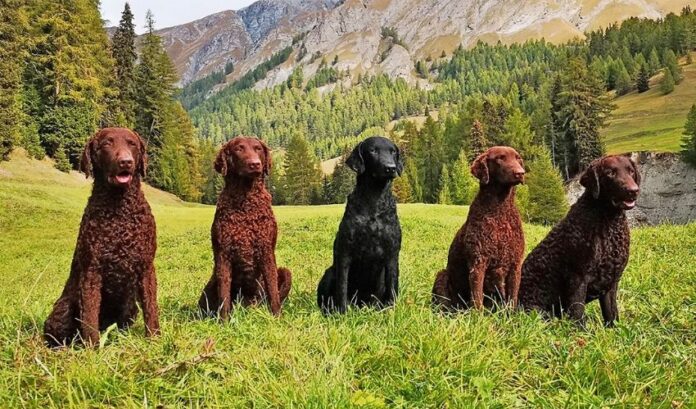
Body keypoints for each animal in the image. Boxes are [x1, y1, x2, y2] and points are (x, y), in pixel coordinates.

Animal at [44, 128, 160, 348]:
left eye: (132, 144)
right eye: (107, 144)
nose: (126, 161)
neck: (119, 210)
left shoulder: (146, 266)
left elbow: (152, 308)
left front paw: (154, 340)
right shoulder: (92, 271)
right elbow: (89, 317)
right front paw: (93, 349)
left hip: (130, 306)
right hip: (62, 310)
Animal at [198, 135, 290, 318]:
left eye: (258, 148)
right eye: (239, 149)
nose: (255, 164)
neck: (245, 202)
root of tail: (247, 306)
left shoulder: (266, 250)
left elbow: (273, 290)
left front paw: (277, 317)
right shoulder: (223, 254)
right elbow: (224, 295)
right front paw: (224, 321)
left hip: (285, 273)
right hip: (207, 290)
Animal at [316, 136, 402, 312]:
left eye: (393, 152)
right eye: (373, 150)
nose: (390, 168)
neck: (374, 202)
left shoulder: (392, 254)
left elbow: (392, 286)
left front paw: (391, 311)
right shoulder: (344, 253)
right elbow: (342, 287)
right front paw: (342, 313)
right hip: (329, 272)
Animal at [432, 147, 524, 310]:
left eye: (518, 158)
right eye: (500, 158)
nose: (521, 172)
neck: (499, 212)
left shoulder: (515, 265)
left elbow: (512, 299)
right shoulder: (478, 263)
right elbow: (477, 299)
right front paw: (477, 316)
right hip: (442, 276)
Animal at [520, 153, 640, 326]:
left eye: (631, 171)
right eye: (610, 173)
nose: (633, 190)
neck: (608, 221)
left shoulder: (611, 282)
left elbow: (612, 315)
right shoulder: (578, 278)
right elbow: (578, 314)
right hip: (537, 310)